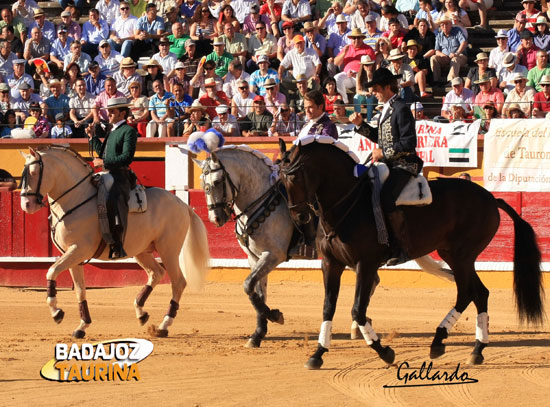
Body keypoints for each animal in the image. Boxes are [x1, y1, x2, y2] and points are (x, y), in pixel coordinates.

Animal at [20, 146, 210, 338]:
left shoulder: (79, 250)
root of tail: (181, 204)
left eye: (34, 172)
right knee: (156, 273)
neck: (76, 198)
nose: (26, 205)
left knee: (178, 282)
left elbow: (51, 271)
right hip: (140, 250)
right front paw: (82, 326)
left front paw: (56, 312)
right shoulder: (72, 255)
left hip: (168, 250)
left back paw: (163, 326)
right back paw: (141, 313)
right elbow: (80, 290)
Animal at [192, 136, 460, 348]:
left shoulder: (273, 255)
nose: (216, 218)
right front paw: (258, 333)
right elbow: (257, 291)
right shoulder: (254, 257)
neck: (262, 199)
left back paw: (358, 326)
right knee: (373, 280)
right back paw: (358, 325)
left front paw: (275, 317)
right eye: (203, 185)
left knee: (371, 280)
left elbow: (248, 286)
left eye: (217, 183)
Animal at [280, 139, 548, 370]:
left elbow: (358, 309)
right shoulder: (330, 264)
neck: (349, 203)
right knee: (479, 293)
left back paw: (440, 342)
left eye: (294, 175)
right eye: (281, 178)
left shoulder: (365, 264)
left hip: (462, 255)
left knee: (467, 293)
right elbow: (328, 307)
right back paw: (476, 350)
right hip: (455, 255)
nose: (299, 217)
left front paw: (385, 352)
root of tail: (491, 197)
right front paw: (317, 354)